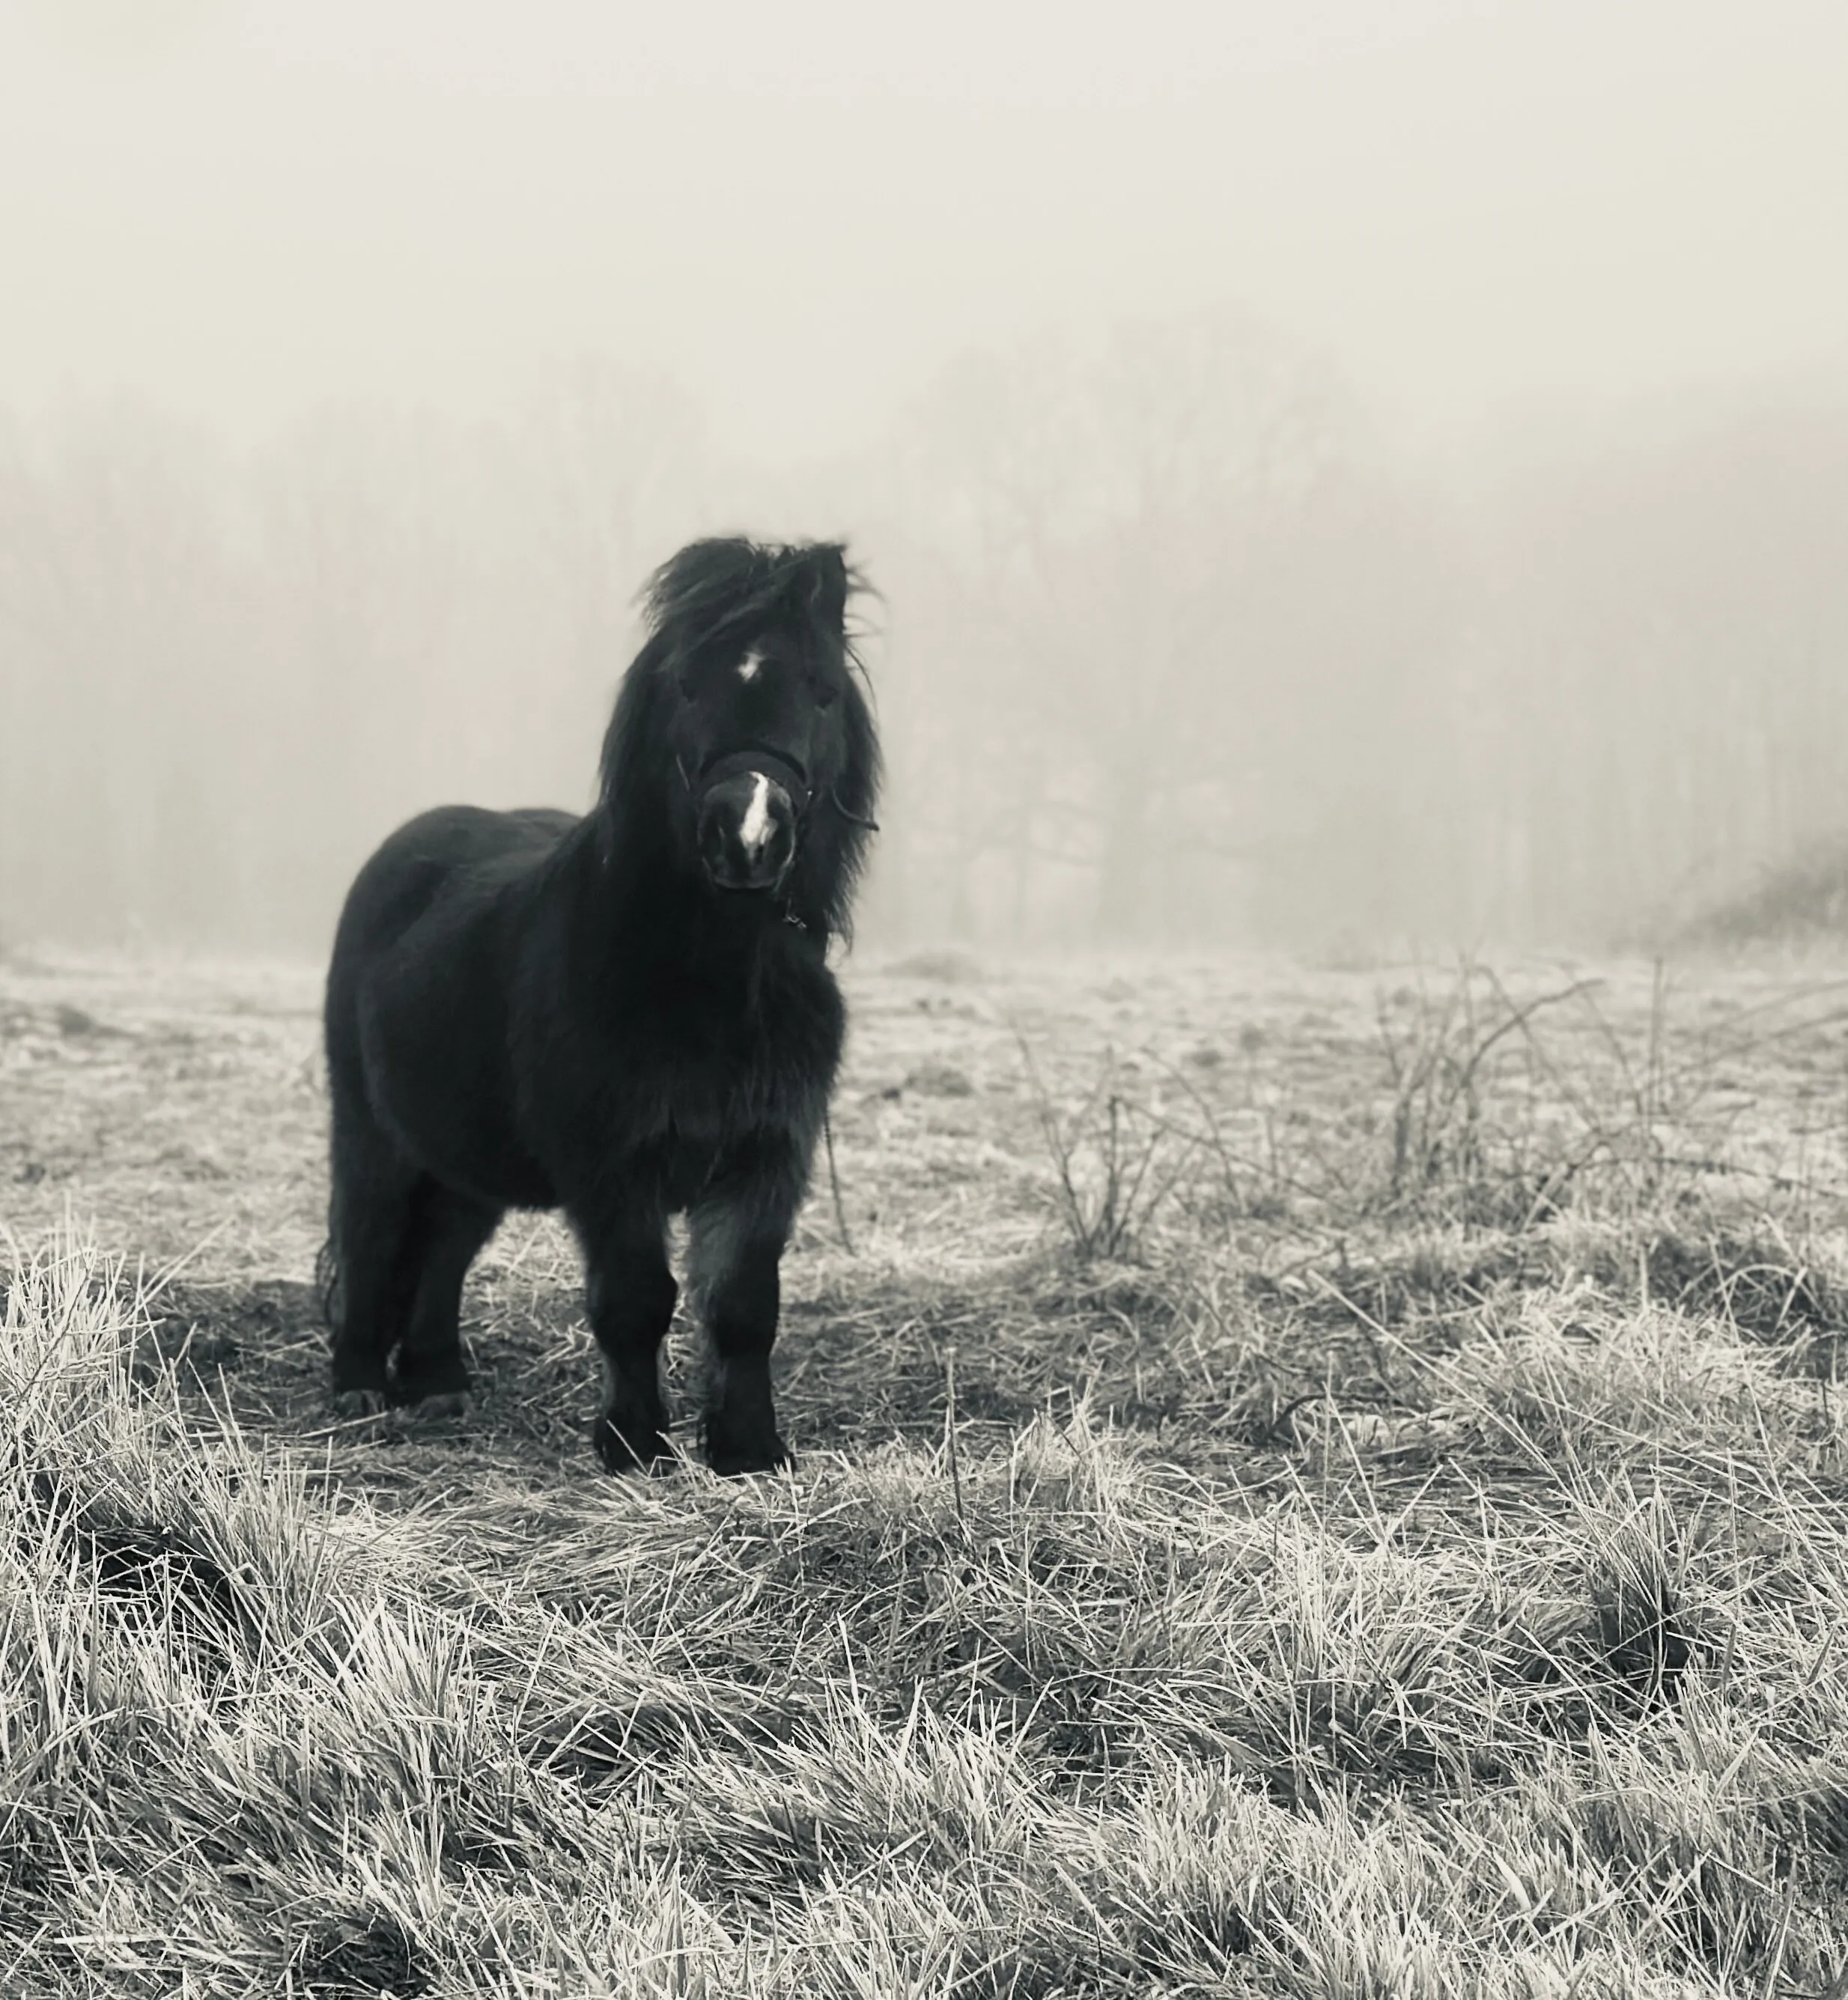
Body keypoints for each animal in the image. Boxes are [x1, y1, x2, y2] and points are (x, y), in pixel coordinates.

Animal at [319, 537, 879, 1474]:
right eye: (686, 685)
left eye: (823, 691)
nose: (747, 835)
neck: (711, 988)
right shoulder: (612, 1164)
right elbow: (635, 1299)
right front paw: (634, 1445)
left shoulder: (765, 1158)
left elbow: (742, 1306)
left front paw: (748, 1449)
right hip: (374, 1133)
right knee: (370, 1234)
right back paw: (359, 1384)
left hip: (467, 1159)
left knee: (443, 1249)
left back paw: (436, 1383)